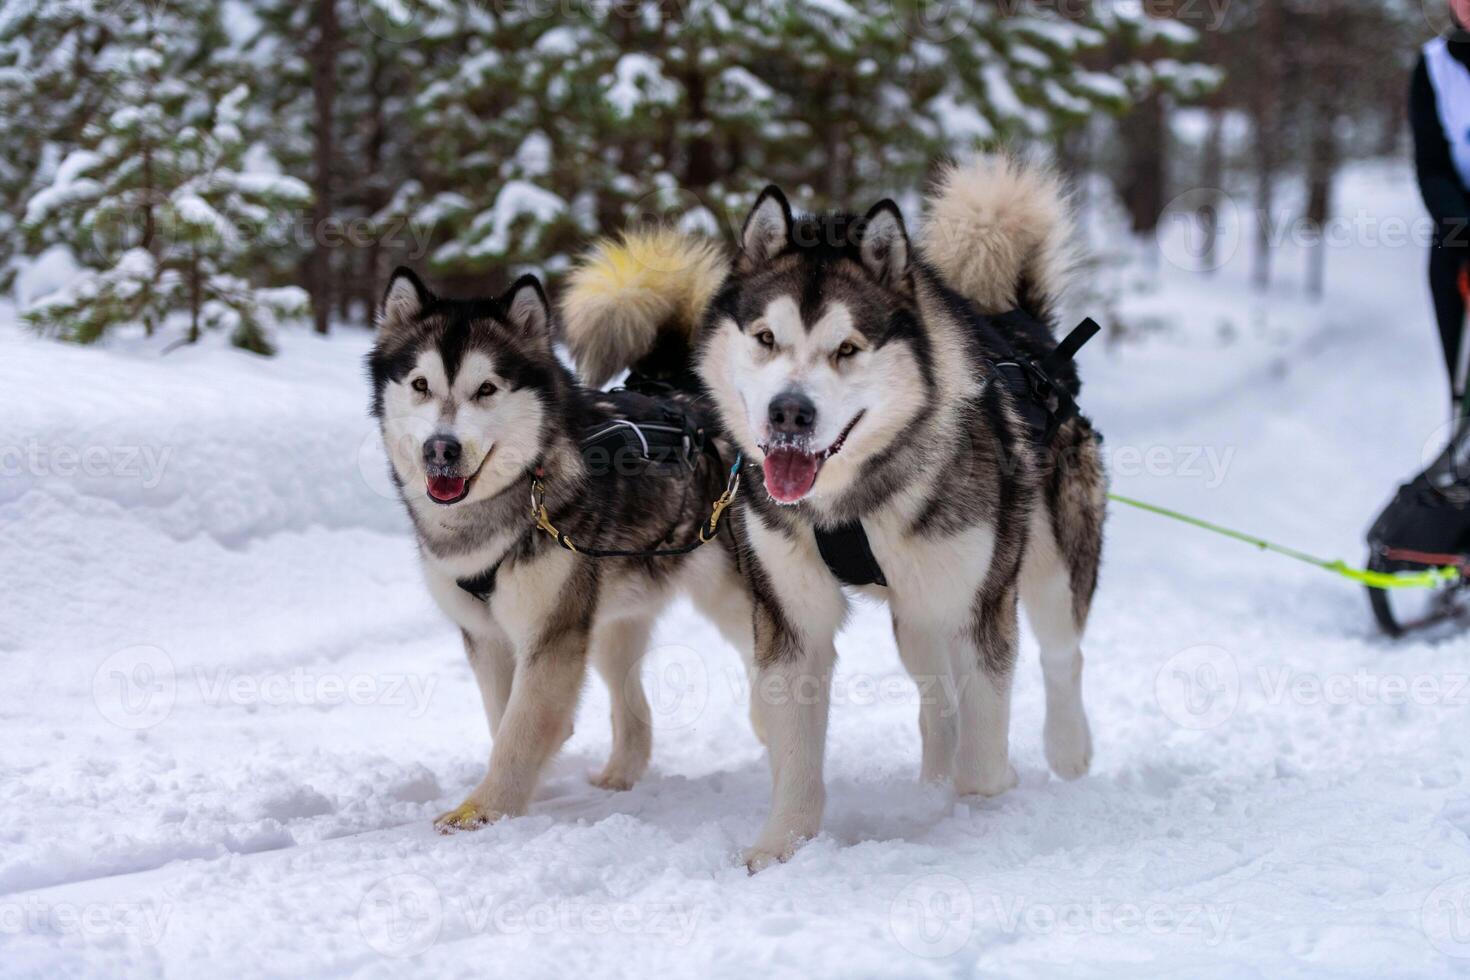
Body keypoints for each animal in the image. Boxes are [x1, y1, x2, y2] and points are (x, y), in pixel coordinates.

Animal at [366, 270, 752, 834]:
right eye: (420, 385)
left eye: (486, 388)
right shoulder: (487, 635)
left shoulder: (550, 635)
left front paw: (482, 809)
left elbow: (519, 728)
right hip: (611, 621)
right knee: (631, 702)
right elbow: (502, 715)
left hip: (732, 600)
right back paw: (620, 775)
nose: (441, 448)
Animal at [567, 157, 1105, 869]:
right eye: (767, 338)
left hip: (1045, 569)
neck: (853, 502)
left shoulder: (978, 607)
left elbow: (987, 744)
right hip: (917, 615)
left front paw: (988, 810)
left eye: (847, 348)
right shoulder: (791, 617)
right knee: (936, 702)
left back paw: (1068, 754)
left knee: (1062, 655)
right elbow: (797, 753)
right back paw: (932, 785)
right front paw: (780, 848)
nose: (789, 412)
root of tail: (1028, 330)